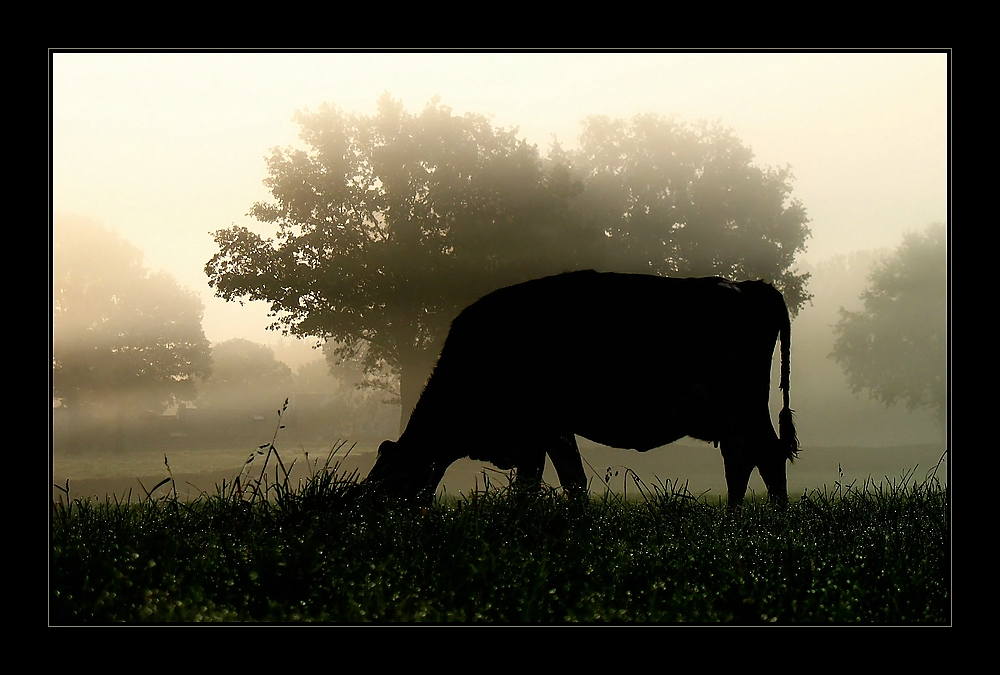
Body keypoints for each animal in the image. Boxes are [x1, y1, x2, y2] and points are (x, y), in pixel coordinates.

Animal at [366, 270, 796, 508]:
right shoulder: (546, 433)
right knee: (746, 458)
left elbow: (550, 481)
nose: (364, 515)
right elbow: (553, 482)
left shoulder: (543, 427)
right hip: (736, 414)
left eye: (386, 483)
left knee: (762, 456)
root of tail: (748, 286)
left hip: (742, 406)